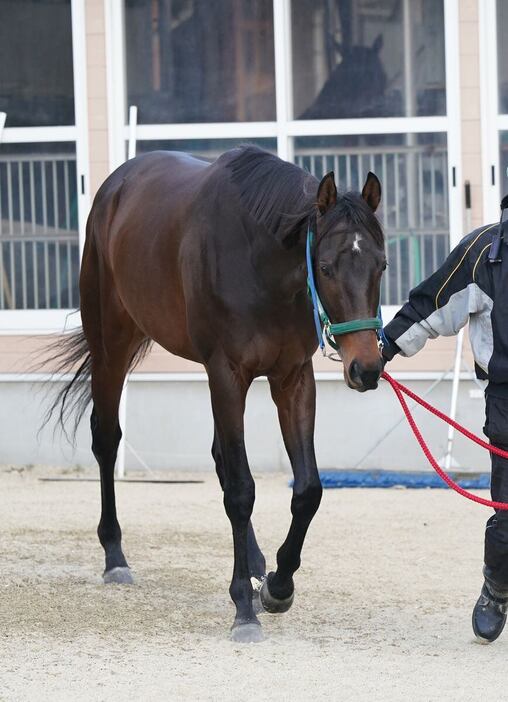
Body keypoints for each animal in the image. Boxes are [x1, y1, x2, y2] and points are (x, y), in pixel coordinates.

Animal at [48, 146, 384, 648]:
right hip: (112, 348)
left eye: (381, 265)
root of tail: (115, 186)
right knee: (106, 440)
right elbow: (242, 491)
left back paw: (259, 565)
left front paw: (277, 586)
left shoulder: (291, 378)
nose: (366, 369)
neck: (259, 259)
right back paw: (115, 556)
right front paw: (244, 609)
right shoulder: (227, 375)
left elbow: (306, 489)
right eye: (325, 268)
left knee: (221, 458)